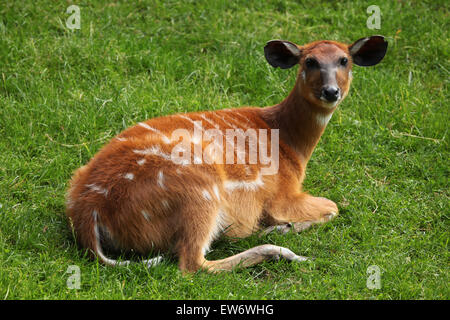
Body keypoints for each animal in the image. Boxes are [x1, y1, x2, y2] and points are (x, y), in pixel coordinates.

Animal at [66, 35, 386, 272]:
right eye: (310, 61)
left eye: (344, 60)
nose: (331, 91)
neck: (290, 146)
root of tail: (89, 211)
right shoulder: (282, 195)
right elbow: (333, 207)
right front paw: (282, 227)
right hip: (199, 189)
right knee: (192, 262)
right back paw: (280, 250)